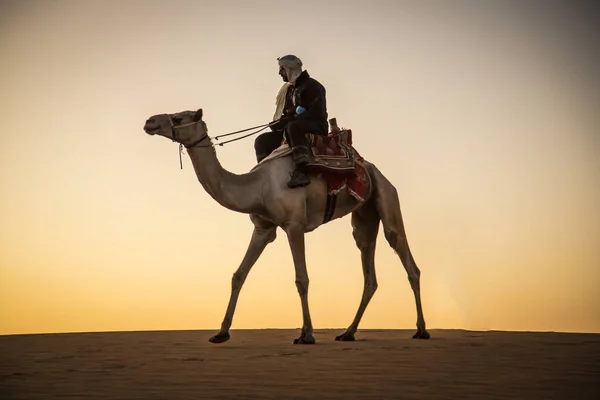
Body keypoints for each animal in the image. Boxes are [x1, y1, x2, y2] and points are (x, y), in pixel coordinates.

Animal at [143, 108, 428, 344]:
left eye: (179, 117)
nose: (150, 122)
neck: (257, 188)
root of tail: (371, 168)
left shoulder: (294, 224)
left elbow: (301, 278)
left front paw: (307, 335)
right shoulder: (263, 229)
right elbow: (238, 275)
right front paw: (221, 333)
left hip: (386, 194)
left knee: (405, 256)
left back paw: (421, 330)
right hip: (364, 217)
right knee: (369, 269)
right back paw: (348, 332)